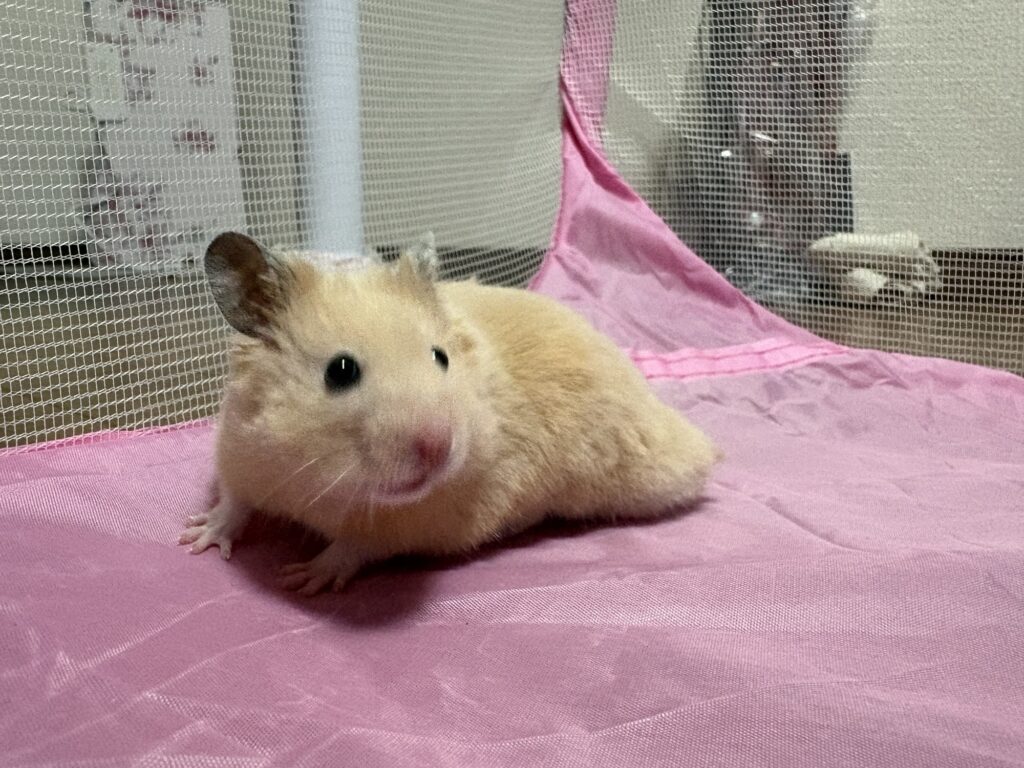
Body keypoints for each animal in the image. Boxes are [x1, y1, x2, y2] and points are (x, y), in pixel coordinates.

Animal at [180, 231, 721, 594]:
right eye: (340, 371)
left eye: (441, 357)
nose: (439, 448)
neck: (321, 476)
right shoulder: (241, 452)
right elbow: (233, 505)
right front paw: (194, 539)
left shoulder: (408, 526)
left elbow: (353, 549)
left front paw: (302, 578)